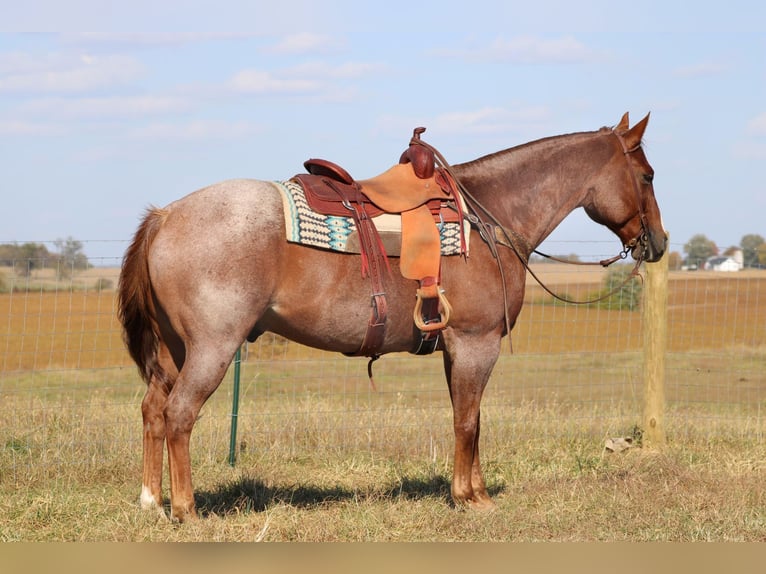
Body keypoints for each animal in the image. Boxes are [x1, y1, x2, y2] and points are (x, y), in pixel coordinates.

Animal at [118, 111, 664, 520]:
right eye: (647, 176)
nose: (658, 242)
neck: (489, 217)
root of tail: (166, 216)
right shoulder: (476, 343)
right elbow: (468, 422)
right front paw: (472, 498)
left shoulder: (455, 349)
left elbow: (469, 418)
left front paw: (472, 490)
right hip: (212, 348)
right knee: (179, 414)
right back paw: (186, 509)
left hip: (174, 351)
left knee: (152, 411)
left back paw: (151, 502)